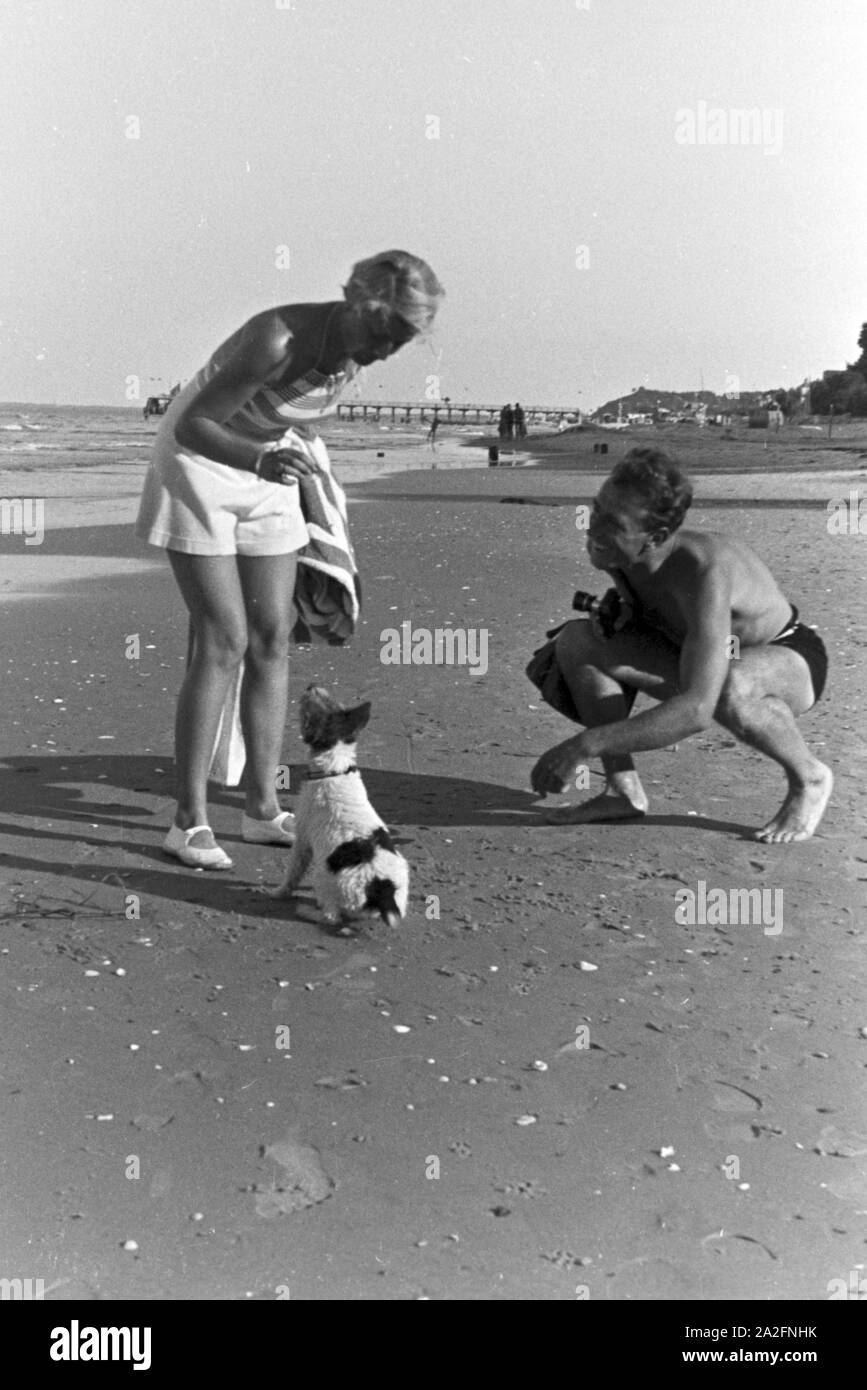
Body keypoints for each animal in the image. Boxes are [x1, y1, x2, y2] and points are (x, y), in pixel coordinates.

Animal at [276, 681, 411, 922]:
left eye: (308, 713)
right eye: (335, 703)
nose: (311, 685)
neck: (335, 768)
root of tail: (380, 888)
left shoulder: (302, 838)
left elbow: (294, 870)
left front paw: (281, 891)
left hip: (323, 877)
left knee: (331, 914)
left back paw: (311, 911)